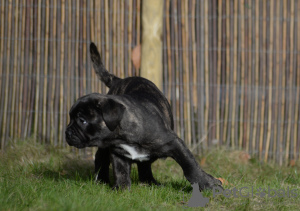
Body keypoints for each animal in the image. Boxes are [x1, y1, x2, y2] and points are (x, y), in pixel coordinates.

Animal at [65, 42, 223, 190]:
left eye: (82, 120)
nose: (67, 132)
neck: (122, 136)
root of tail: (119, 80)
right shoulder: (117, 153)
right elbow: (120, 171)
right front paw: (121, 189)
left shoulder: (175, 143)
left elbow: (190, 166)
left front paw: (208, 184)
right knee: (103, 158)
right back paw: (103, 180)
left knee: (143, 165)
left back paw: (149, 182)